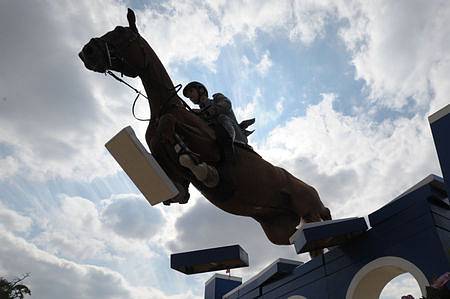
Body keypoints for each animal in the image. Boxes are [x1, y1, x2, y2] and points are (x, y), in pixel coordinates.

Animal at [79, 8, 330, 254]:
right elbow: (177, 183)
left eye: (122, 34)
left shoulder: (208, 145)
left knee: (321, 221)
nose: (87, 51)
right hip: (279, 230)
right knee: (303, 239)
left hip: (308, 208)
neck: (164, 107)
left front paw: (201, 168)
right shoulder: (169, 169)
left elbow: (171, 128)